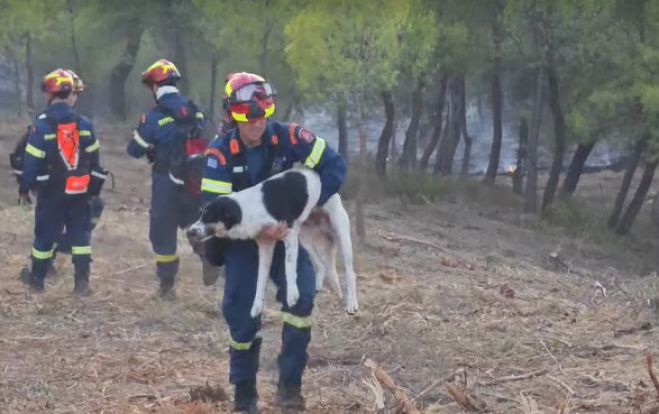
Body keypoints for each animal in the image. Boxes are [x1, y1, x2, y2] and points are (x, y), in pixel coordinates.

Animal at [186, 167, 360, 316]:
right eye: (201, 215)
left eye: (208, 217)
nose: (189, 231)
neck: (248, 209)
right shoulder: (266, 245)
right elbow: (260, 280)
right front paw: (256, 306)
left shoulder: (288, 234)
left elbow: (289, 267)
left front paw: (292, 294)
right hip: (304, 237)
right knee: (323, 265)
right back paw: (331, 289)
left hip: (341, 233)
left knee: (350, 273)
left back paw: (352, 304)